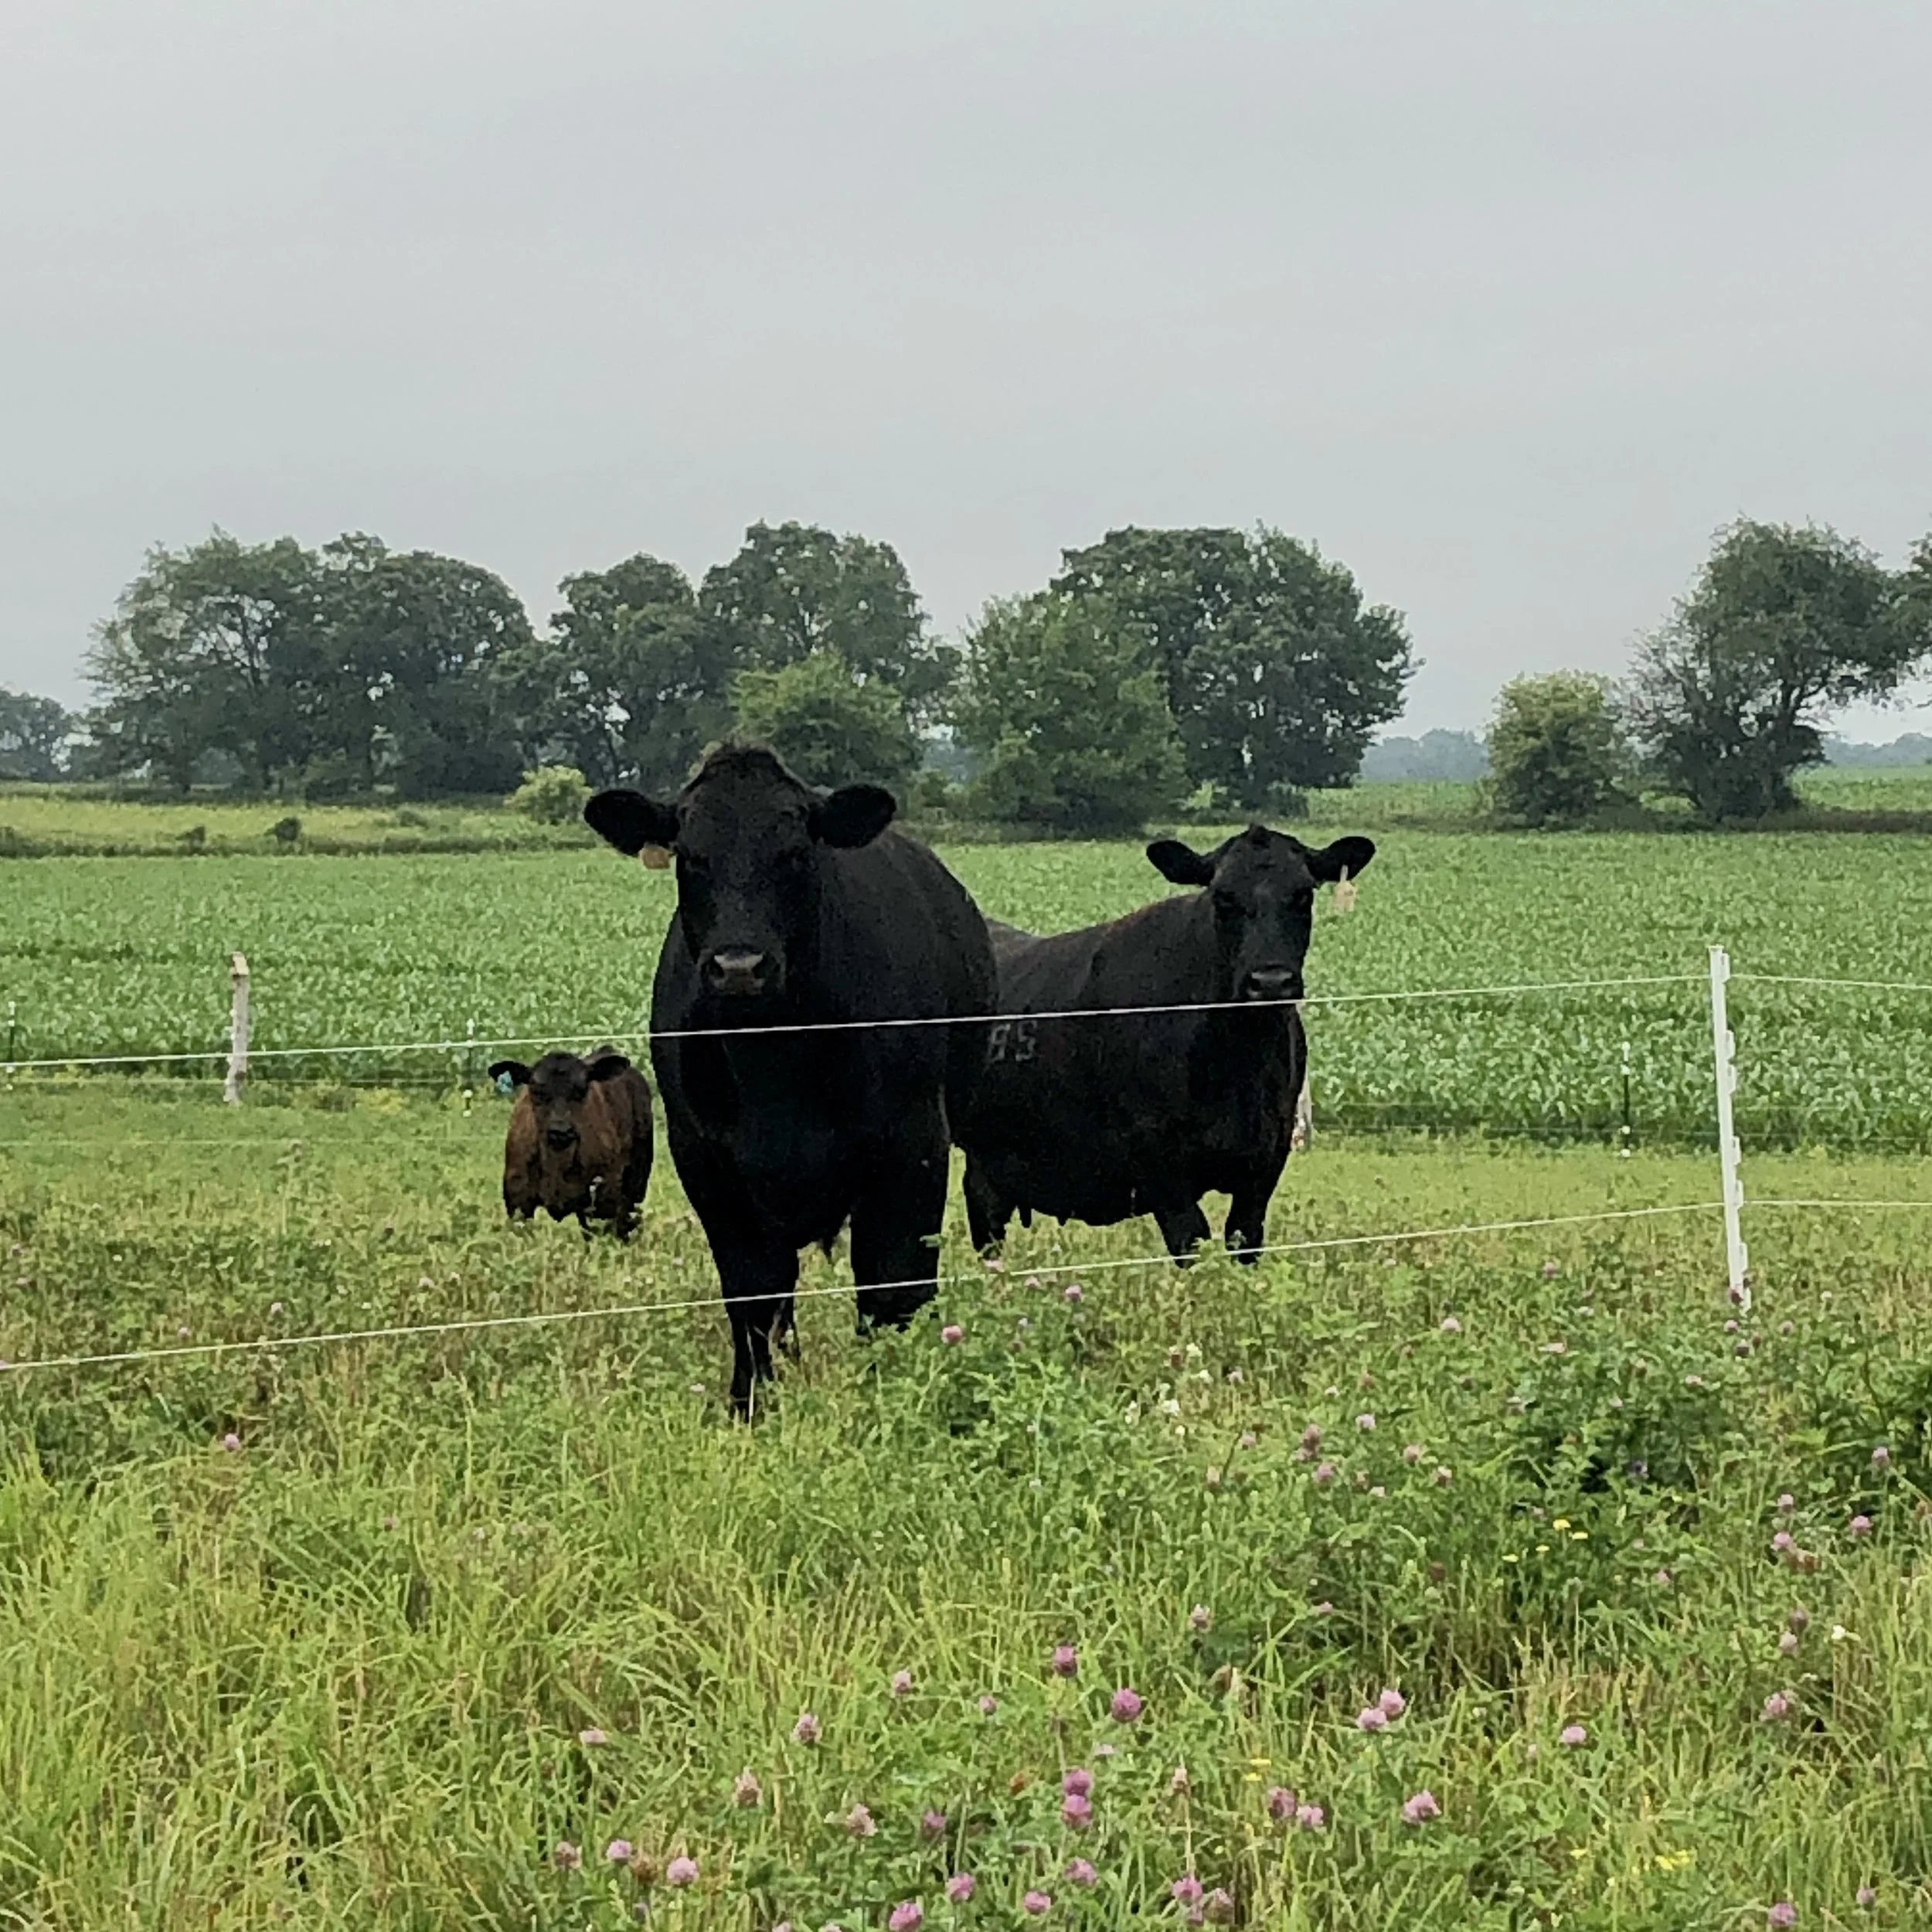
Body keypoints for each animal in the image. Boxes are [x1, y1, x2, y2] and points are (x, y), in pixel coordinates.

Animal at [488, 1046, 654, 1239]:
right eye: (537, 1091)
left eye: (582, 1090)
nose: (561, 1130)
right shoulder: (518, 1201)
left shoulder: (606, 1197)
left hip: (636, 1183)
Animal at [582, 744, 997, 1415]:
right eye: (691, 856)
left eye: (796, 852)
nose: (738, 966)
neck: (773, 1060)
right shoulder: (707, 1162)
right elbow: (751, 1293)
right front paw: (749, 1403)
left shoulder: (913, 1149)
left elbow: (893, 1283)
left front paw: (893, 1389)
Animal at [959, 825, 1373, 1265]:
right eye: (1223, 897)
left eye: (1303, 895)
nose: (1271, 982)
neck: (1237, 1060)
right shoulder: (1160, 1165)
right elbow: (1190, 1242)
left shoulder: (1265, 1161)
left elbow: (1243, 1241)